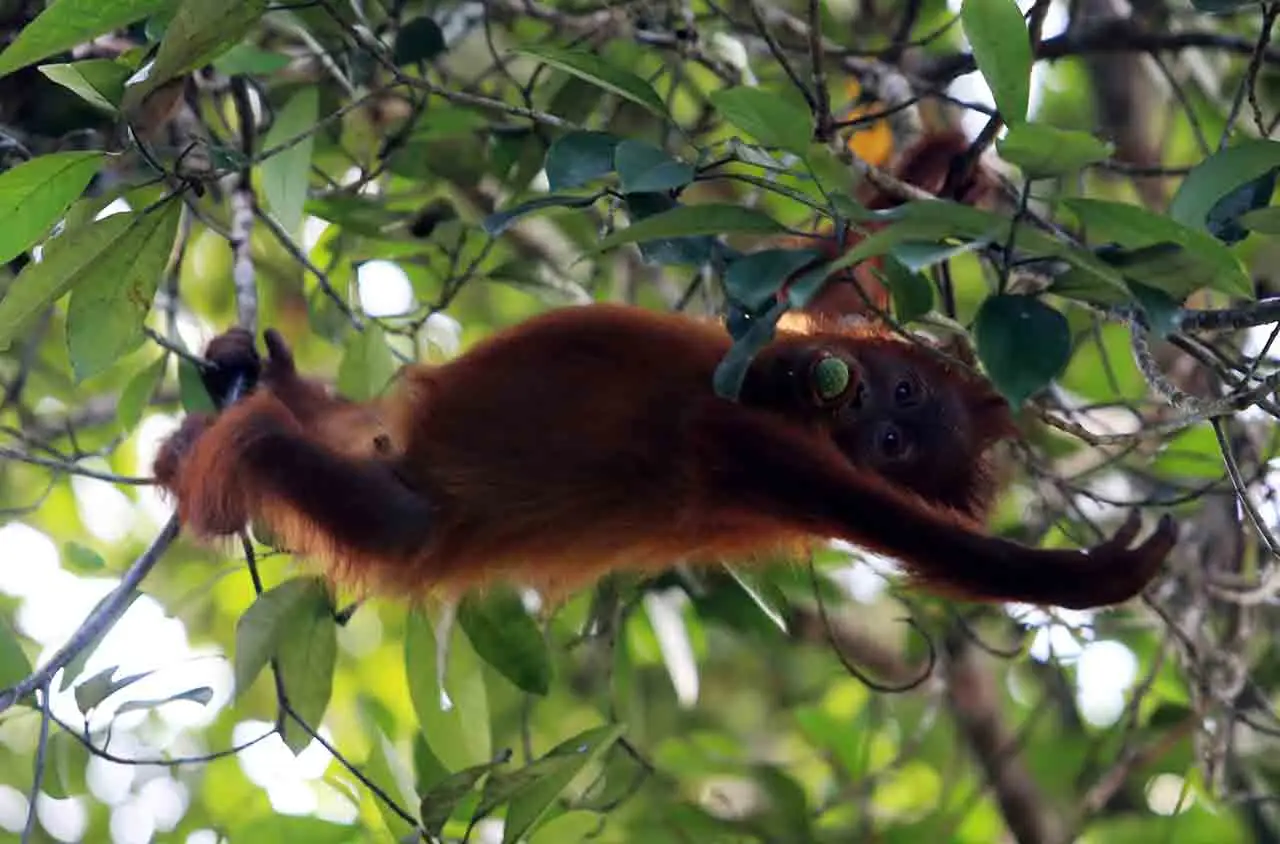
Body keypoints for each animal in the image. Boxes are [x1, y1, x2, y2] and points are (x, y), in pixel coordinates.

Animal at [153, 307, 1175, 611]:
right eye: (904, 399)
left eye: (894, 443)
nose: (860, 398)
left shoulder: (758, 454)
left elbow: (912, 531)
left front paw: (1084, 578)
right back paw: (256, 376)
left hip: (389, 513)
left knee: (302, 463)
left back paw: (219, 454)